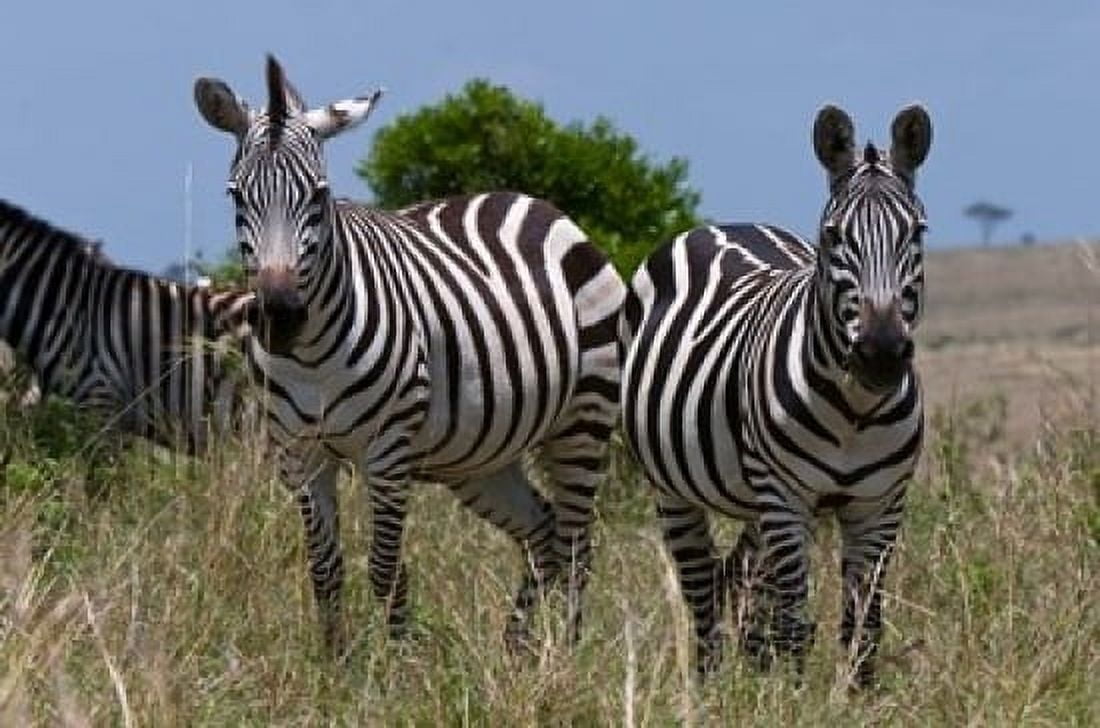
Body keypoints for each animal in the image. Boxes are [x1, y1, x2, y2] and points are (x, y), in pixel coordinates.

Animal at [192, 56, 625, 654]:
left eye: (319, 196)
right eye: (236, 196)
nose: (281, 317)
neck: (312, 357)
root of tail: (536, 205)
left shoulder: (388, 450)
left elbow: (386, 568)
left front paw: (398, 663)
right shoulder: (301, 452)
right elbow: (325, 570)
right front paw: (336, 664)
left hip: (584, 419)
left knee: (578, 544)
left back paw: (565, 654)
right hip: (481, 455)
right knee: (543, 534)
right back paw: (517, 654)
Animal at [620, 104, 932, 686]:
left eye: (918, 233)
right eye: (834, 235)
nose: (881, 353)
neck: (855, 412)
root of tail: (727, 225)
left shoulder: (881, 506)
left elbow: (864, 629)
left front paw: (855, 698)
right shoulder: (786, 500)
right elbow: (792, 622)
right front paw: (790, 696)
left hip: (754, 501)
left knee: (739, 580)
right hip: (675, 488)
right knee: (702, 591)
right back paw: (710, 685)